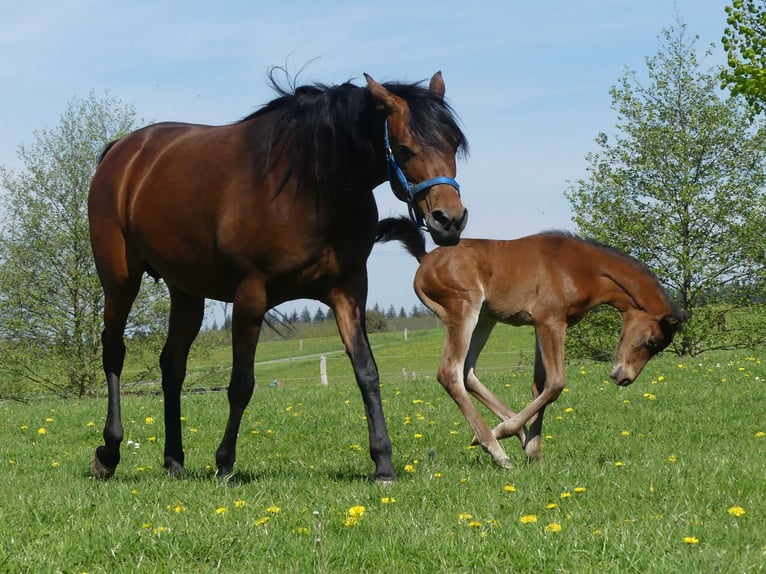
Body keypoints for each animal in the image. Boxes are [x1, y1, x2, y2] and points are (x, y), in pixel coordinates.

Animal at [93, 73, 472, 486]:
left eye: (454, 144)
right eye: (404, 149)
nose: (449, 220)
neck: (309, 187)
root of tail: (122, 151)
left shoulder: (348, 291)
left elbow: (366, 371)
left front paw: (383, 463)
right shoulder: (251, 296)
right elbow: (241, 383)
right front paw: (225, 463)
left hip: (186, 292)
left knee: (172, 365)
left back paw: (174, 461)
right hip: (120, 281)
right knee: (114, 352)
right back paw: (109, 452)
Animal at [378, 218, 688, 470]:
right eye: (651, 341)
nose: (624, 378)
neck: (583, 268)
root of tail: (425, 258)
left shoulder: (542, 325)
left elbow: (540, 385)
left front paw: (532, 449)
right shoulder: (550, 320)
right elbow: (556, 383)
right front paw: (510, 434)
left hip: (485, 318)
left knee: (468, 372)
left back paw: (509, 433)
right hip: (463, 310)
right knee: (450, 373)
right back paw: (496, 447)